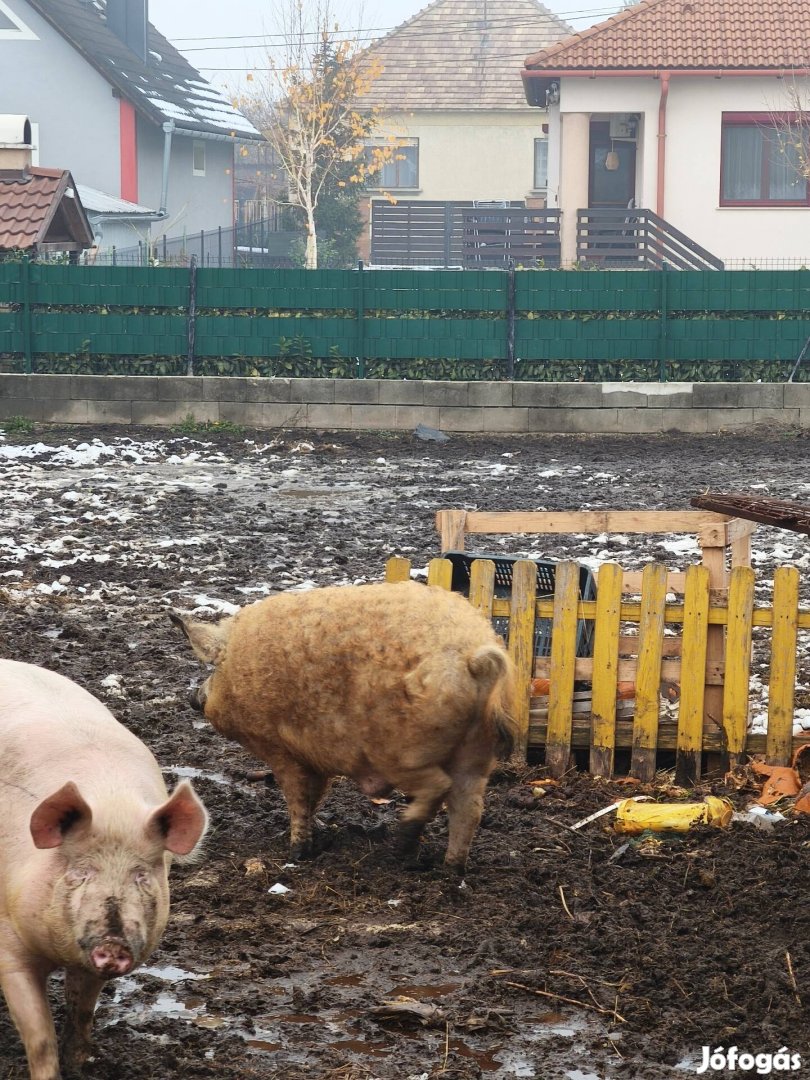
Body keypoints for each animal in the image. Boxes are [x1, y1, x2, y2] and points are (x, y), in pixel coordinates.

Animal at [0, 656, 209, 1080]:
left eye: (142, 875)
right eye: (81, 872)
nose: (113, 944)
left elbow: (82, 1009)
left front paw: (81, 1063)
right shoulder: (9, 941)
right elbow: (39, 1035)